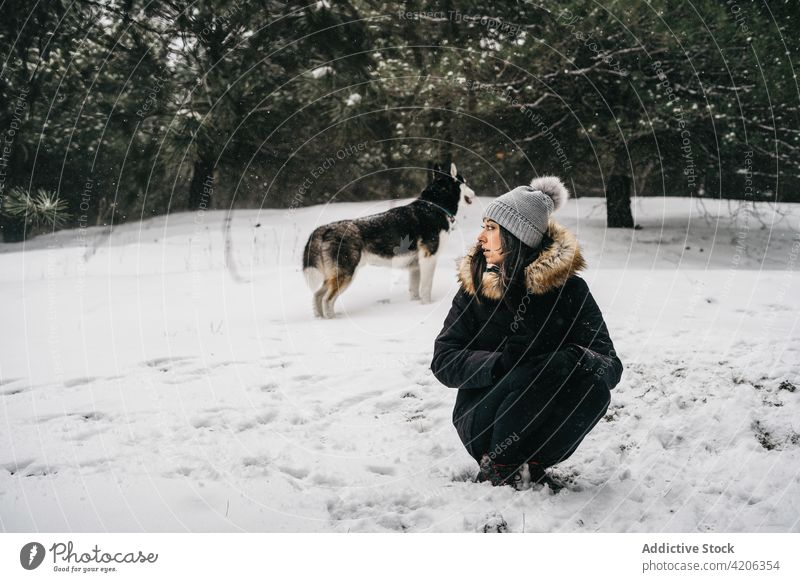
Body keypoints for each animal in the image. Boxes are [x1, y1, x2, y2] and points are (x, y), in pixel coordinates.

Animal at [304, 162, 472, 320]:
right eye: (465, 181)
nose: (474, 193)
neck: (433, 206)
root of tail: (325, 229)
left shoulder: (416, 266)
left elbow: (414, 291)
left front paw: (416, 305)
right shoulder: (428, 259)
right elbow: (426, 289)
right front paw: (427, 306)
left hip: (332, 276)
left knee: (317, 295)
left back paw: (319, 319)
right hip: (346, 274)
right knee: (327, 299)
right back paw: (332, 319)